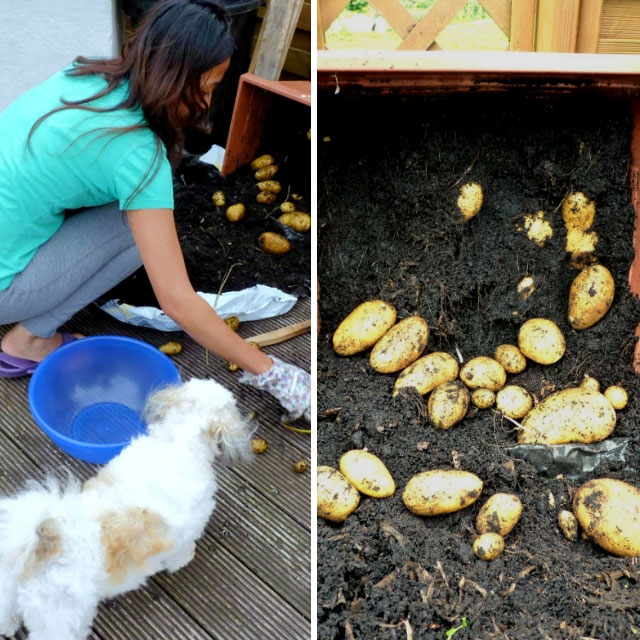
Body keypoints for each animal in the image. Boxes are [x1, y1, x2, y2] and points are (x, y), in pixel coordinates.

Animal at [0, 378, 254, 636]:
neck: (178, 441)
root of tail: (43, 547)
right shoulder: (186, 533)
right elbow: (182, 551)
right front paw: (184, 560)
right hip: (61, 619)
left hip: (7, 588)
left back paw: (8, 627)